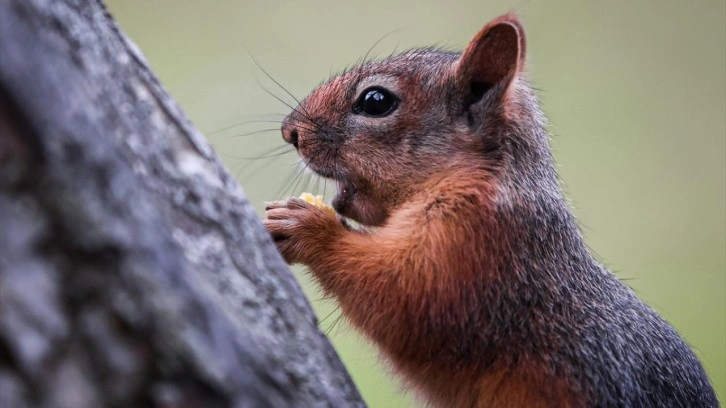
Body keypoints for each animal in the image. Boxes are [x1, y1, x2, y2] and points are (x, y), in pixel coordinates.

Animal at [264, 14, 720, 406]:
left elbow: (408, 297)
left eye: (376, 101)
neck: (474, 177)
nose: (290, 131)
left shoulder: (478, 241)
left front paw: (308, 225)